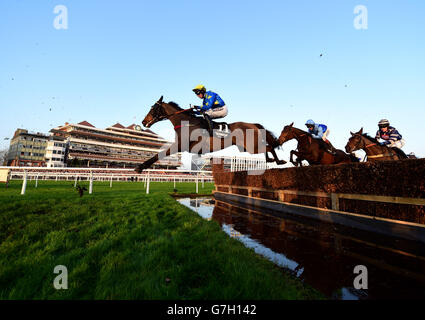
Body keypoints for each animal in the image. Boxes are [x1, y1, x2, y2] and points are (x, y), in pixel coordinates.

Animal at [135, 95, 284, 172]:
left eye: (153, 109)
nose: (143, 121)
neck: (187, 123)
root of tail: (253, 124)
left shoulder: (180, 145)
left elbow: (160, 154)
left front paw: (140, 167)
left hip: (252, 146)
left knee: (269, 147)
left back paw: (279, 161)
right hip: (248, 146)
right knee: (267, 148)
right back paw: (272, 160)